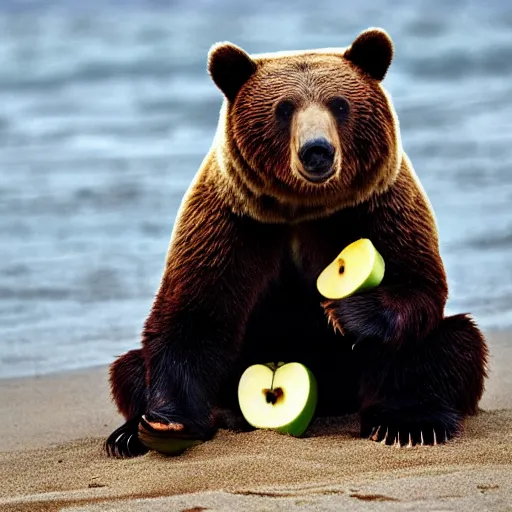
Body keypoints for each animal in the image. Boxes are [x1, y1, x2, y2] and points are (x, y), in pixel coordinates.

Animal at [104, 28, 488, 458]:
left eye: (339, 104)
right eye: (284, 108)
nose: (317, 150)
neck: (303, 208)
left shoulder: (377, 209)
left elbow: (416, 284)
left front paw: (344, 313)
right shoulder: (233, 223)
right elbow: (193, 317)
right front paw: (165, 423)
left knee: (454, 342)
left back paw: (410, 422)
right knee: (128, 367)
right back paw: (129, 434)